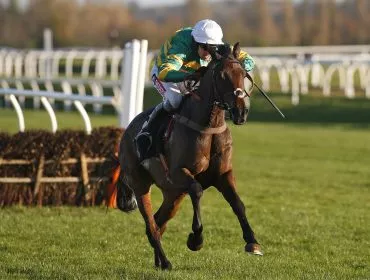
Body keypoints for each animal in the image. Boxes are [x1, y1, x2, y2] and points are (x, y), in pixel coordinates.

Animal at [111, 42, 262, 270]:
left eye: (243, 73)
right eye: (222, 76)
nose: (241, 112)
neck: (207, 127)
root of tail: (127, 132)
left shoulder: (223, 174)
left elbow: (238, 203)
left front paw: (252, 242)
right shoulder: (179, 172)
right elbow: (197, 190)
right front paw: (196, 239)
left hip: (173, 194)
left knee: (158, 222)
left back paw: (159, 262)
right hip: (141, 184)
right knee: (151, 224)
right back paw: (165, 261)